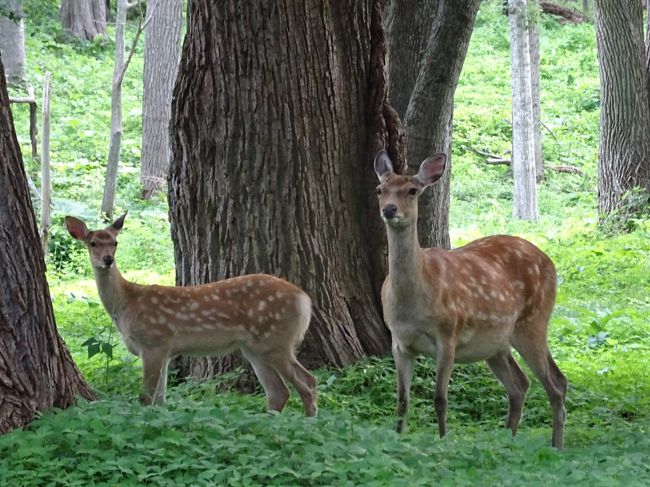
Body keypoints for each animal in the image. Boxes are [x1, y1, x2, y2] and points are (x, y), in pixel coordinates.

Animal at [65, 214, 316, 416]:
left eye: (115, 242)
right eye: (93, 243)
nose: (107, 259)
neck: (127, 303)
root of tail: (304, 300)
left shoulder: (154, 342)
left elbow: (146, 398)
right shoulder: (165, 352)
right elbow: (160, 400)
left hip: (275, 339)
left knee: (306, 382)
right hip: (253, 347)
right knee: (280, 392)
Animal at [372, 151, 564, 452]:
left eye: (412, 190)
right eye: (380, 189)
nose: (389, 210)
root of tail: (550, 263)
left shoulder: (448, 334)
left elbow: (440, 399)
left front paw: (442, 441)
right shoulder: (399, 343)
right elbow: (402, 401)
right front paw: (397, 438)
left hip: (533, 321)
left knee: (555, 384)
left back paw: (556, 447)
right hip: (496, 344)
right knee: (521, 385)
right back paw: (507, 441)